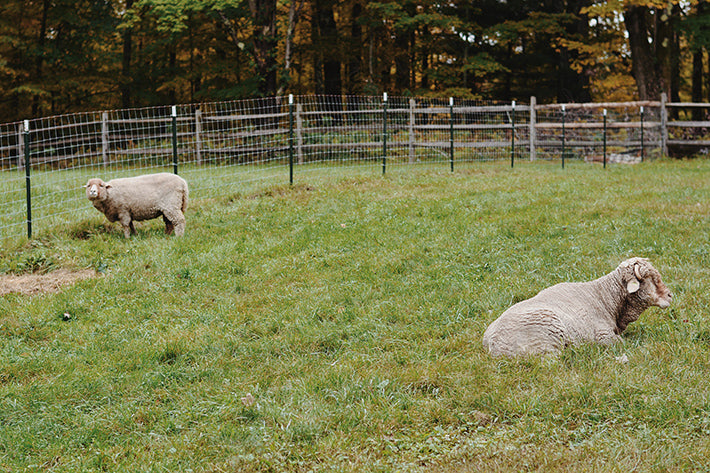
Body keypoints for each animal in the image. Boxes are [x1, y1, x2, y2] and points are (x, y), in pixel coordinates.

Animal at [484, 256, 672, 356]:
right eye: (649, 279)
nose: (670, 295)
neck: (605, 297)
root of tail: (493, 346)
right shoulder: (604, 336)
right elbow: (623, 343)